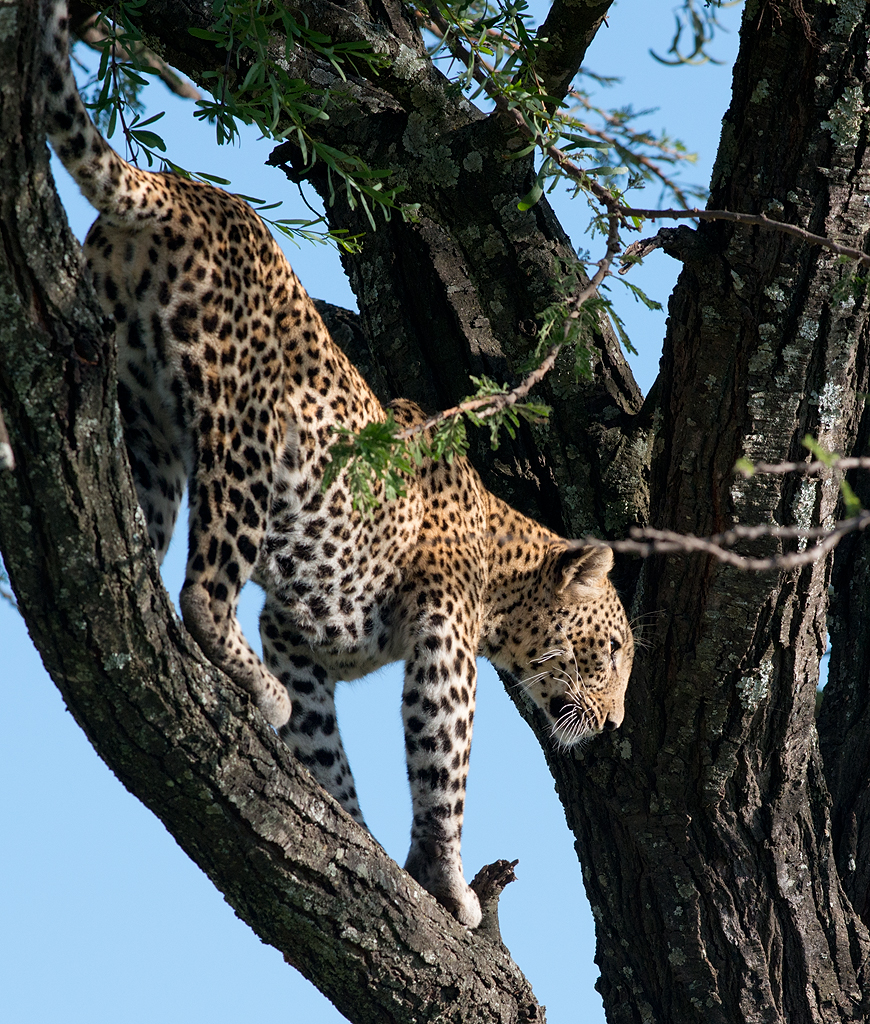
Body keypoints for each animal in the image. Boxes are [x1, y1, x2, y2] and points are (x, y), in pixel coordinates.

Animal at [38, 0, 630, 929]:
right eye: (609, 652)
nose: (610, 729)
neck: (503, 577)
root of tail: (186, 189)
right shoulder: (445, 634)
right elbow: (442, 766)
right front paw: (447, 883)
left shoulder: (307, 628)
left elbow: (324, 744)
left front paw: (355, 833)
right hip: (243, 431)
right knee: (204, 588)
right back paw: (240, 675)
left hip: (144, 415)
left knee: (135, 534)